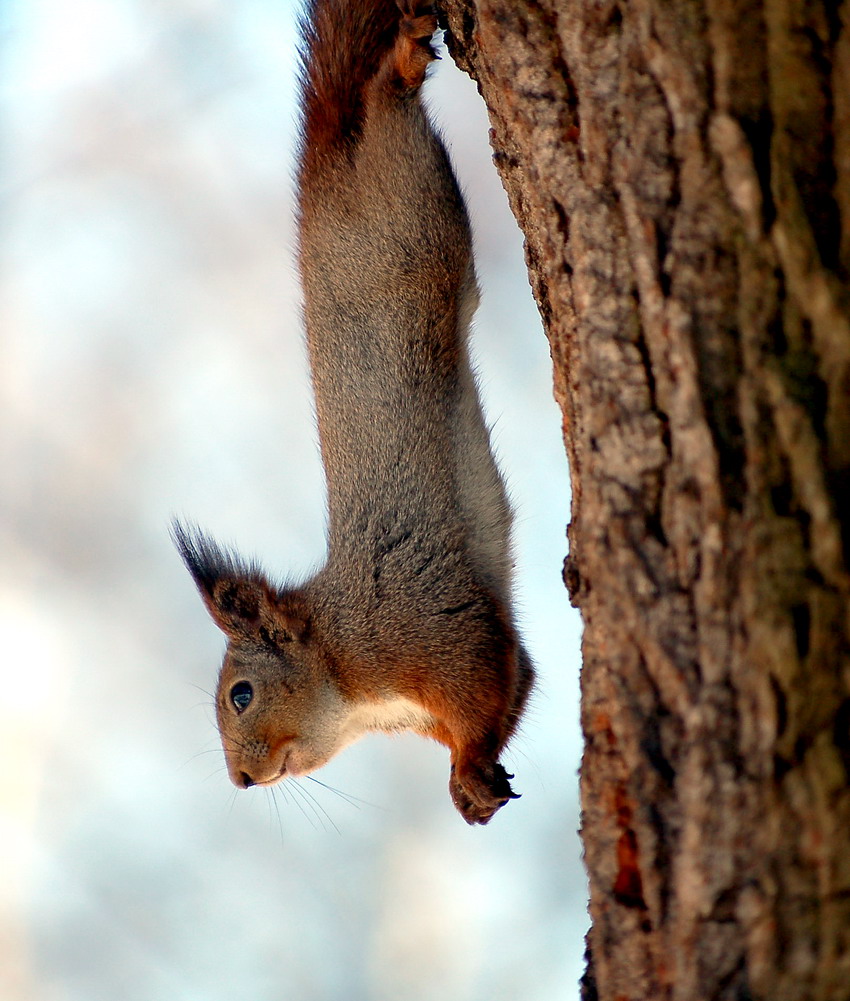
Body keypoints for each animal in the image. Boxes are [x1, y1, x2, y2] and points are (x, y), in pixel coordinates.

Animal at [173, 0, 532, 828]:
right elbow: (521, 679)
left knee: (374, 108)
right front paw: (469, 782)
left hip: (406, 199)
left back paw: (400, 59)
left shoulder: (426, 630)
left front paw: (469, 765)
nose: (241, 780)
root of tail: (315, 174)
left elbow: (485, 681)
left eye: (241, 694)